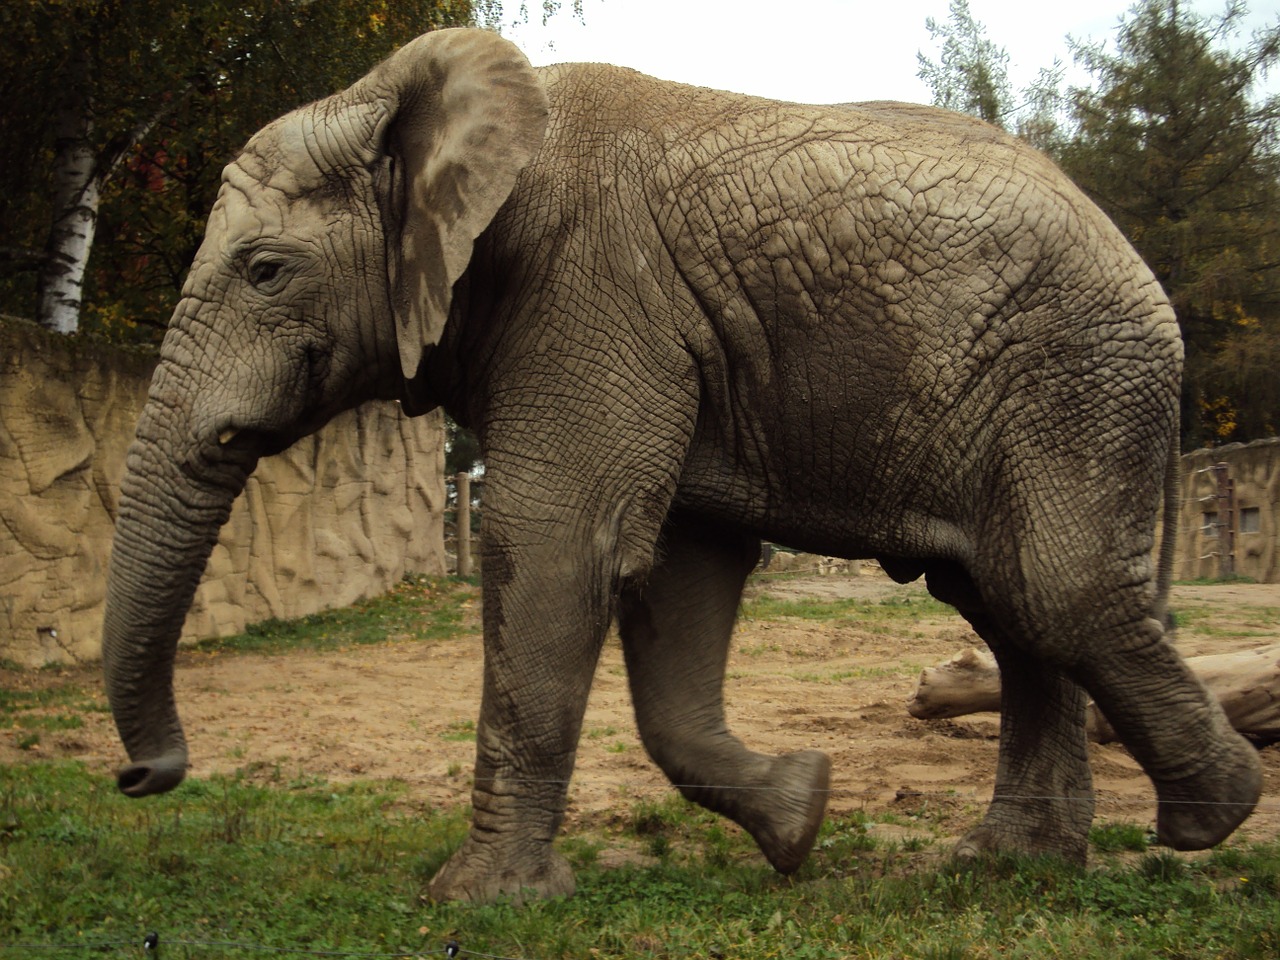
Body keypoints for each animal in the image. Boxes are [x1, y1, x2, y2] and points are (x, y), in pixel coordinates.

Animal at [102, 26, 1259, 906]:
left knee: (1052, 589)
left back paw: (1211, 817)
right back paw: (1007, 866)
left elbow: (555, 546)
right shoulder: (665, 336)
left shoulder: (591, 291)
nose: (138, 777)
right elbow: (677, 580)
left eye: (265, 270)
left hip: (1073, 378)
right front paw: (799, 817)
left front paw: (477, 901)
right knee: (1005, 601)